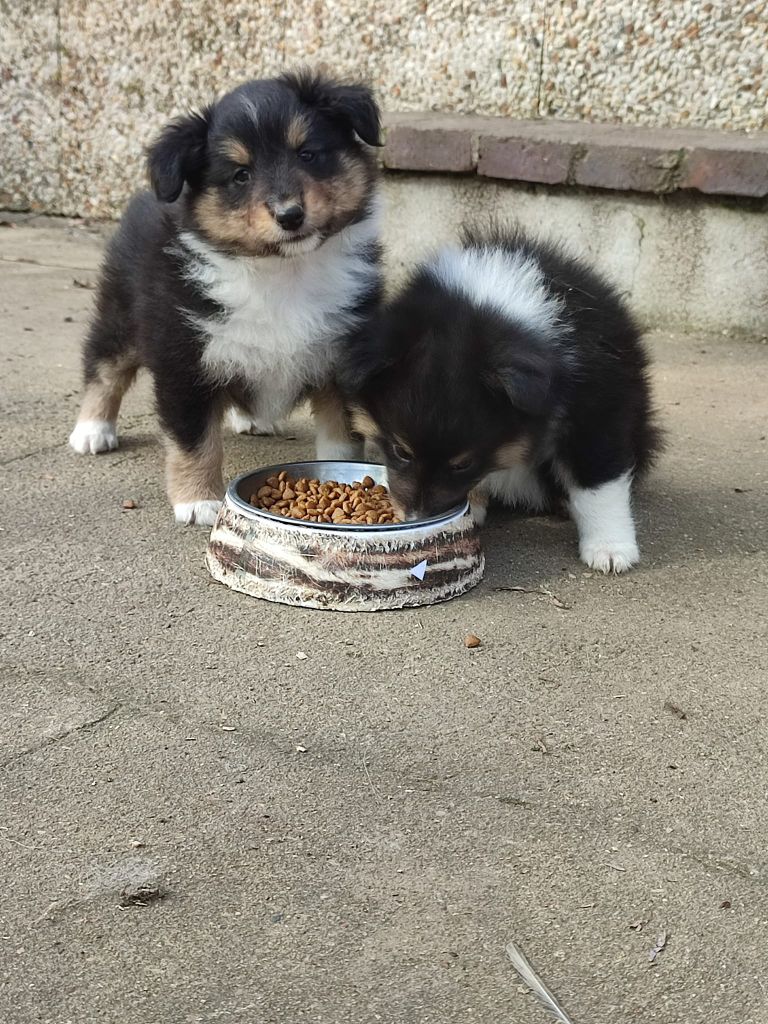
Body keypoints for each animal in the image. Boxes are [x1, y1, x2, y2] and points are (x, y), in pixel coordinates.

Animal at [70, 70, 382, 528]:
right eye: (240, 175)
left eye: (308, 154)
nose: (290, 215)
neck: (282, 271)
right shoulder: (183, 359)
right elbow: (194, 440)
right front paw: (198, 501)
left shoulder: (344, 353)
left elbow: (342, 434)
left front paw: (343, 479)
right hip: (122, 314)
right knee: (103, 366)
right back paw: (92, 430)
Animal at [339, 226, 663, 577]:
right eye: (401, 451)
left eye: (463, 463)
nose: (416, 519)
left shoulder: (598, 406)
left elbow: (599, 482)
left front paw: (610, 549)